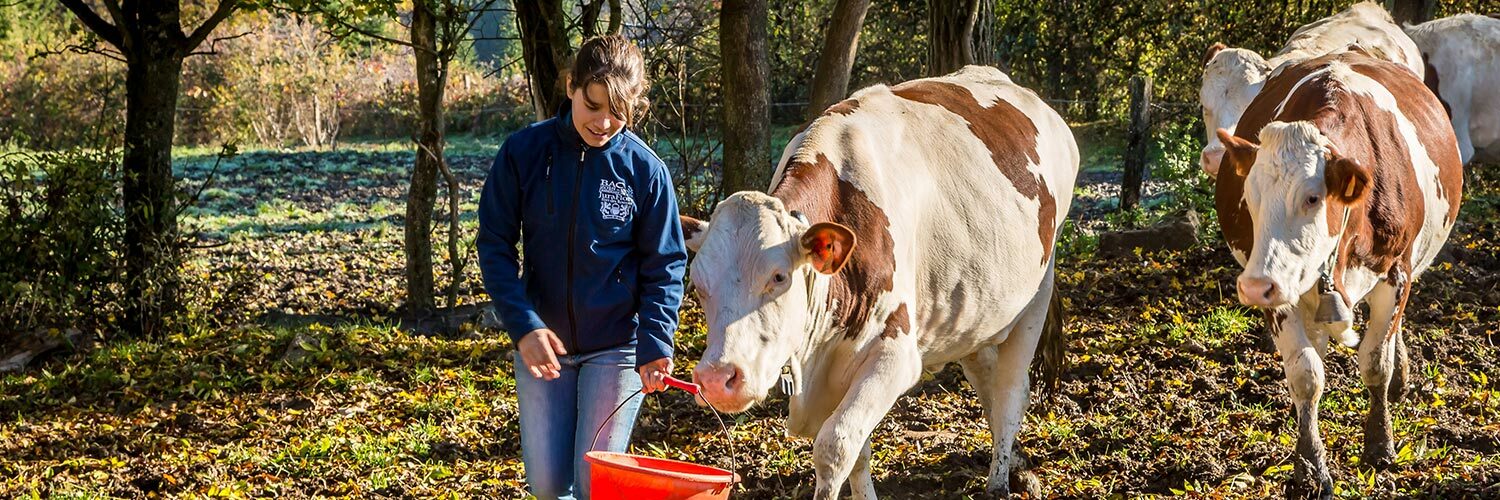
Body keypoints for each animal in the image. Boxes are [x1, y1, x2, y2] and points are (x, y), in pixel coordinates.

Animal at [681, 65, 1080, 495]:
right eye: (698, 286)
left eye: (778, 276)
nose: (717, 379)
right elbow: (859, 451)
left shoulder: (895, 355)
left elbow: (836, 445)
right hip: (975, 308)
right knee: (985, 376)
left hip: (1036, 295)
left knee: (1011, 391)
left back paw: (999, 481)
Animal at [1212, 49, 1458, 495]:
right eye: (1249, 196)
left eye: (1313, 197)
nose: (1254, 286)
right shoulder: (1282, 290)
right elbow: (1307, 374)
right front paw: (1310, 467)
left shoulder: (1396, 275)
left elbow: (1375, 362)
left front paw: (1380, 444)